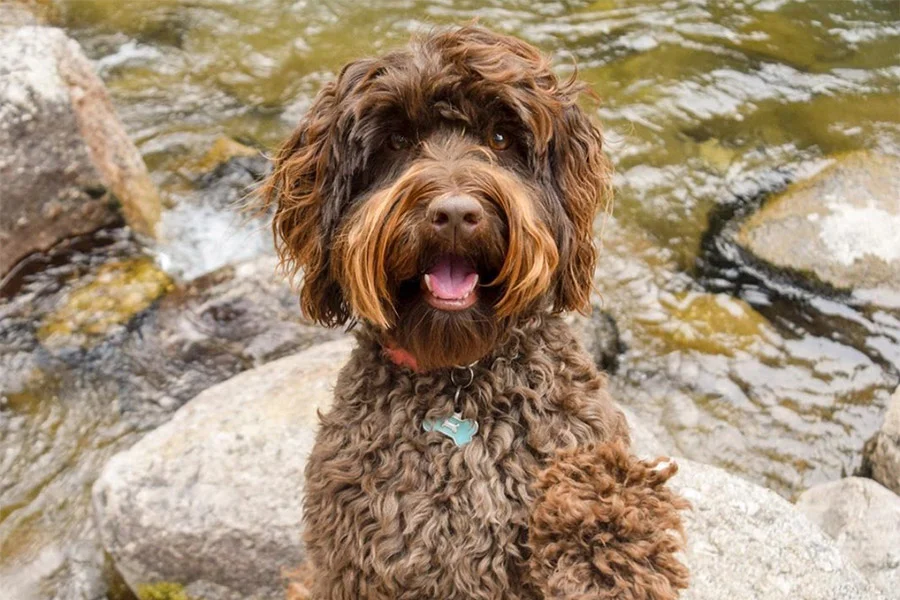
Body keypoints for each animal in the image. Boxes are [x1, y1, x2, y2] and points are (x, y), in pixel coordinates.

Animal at [262, 25, 688, 600]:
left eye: (502, 139)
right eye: (397, 142)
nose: (455, 213)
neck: (459, 379)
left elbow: (604, 499)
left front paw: (602, 548)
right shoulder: (357, 562)